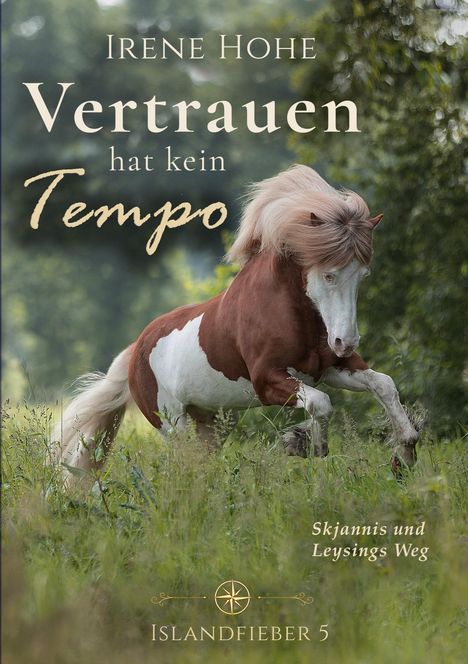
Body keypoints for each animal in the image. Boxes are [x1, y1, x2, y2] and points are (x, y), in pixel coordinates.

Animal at [52, 165, 418, 484]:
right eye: (328, 274)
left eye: (362, 275)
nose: (345, 342)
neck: (285, 309)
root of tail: (136, 349)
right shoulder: (267, 380)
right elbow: (320, 403)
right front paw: (303, 443)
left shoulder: (329, 369)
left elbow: (383, 384)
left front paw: (404, 456)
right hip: (172, 424)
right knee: (182, 466)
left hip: (214, 423)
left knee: (201, 464)